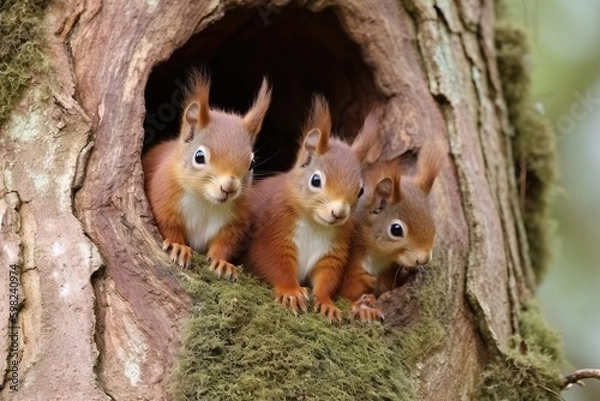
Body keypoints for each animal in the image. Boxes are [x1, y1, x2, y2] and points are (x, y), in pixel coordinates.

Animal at [143, 72, 270, 278]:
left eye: (252, 162)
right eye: (199, 157)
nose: (229, 187)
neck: (206, 201)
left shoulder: (235, 222)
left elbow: (225, 243)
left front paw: (222, 263)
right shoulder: (164, 199)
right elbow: (169, 228)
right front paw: (179, 247)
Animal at [243, 95, 376, 320]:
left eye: (361, 190)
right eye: (316, 180)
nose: (339, 213)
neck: (315, 225)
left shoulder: (332, 251)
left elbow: (327, 278)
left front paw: (326, 303)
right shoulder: (274, 235)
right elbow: (276, 265)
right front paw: (291, 293)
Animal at [338, 144, 446, 322]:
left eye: (431, 219)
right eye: (396, 230)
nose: (424, 259)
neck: (379, 258)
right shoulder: (353, 268)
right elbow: (346, 296)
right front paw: (363, 309)